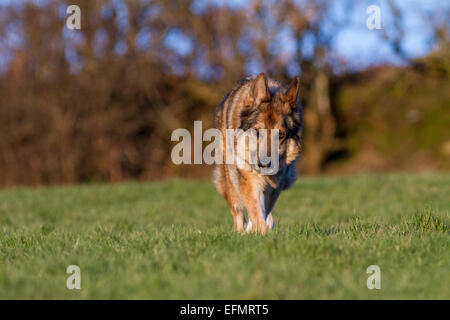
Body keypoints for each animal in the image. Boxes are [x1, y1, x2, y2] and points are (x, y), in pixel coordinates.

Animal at [214, 74, 302, 234]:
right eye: (257, 131)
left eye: (281, 134)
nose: (264, 164)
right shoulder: (248, 178)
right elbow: (255, 209)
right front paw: (260, 233)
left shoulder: (275, 186)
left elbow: (263, 210)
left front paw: (259, 230)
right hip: (230, 181)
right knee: (238, 211)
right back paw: (240, 231)